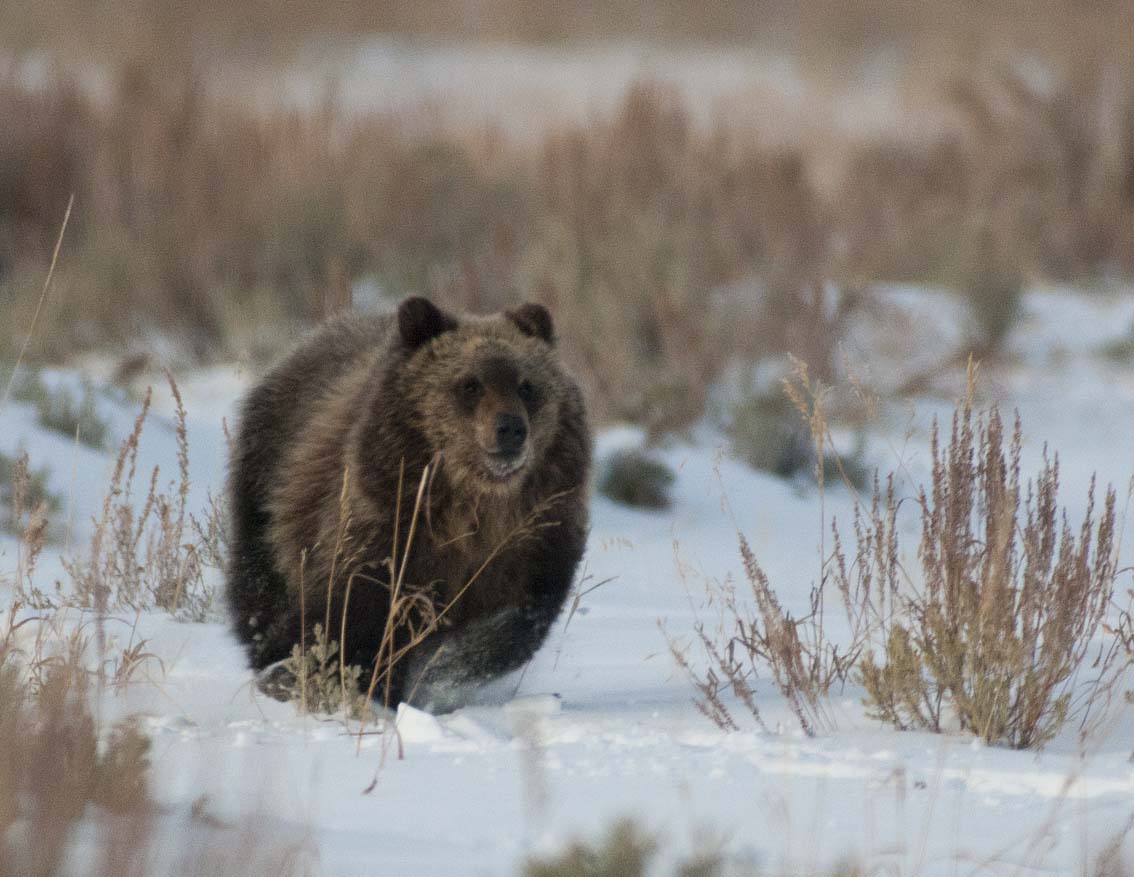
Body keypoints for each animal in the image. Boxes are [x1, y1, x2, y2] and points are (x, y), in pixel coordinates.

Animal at [225, 296, 591, 711]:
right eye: (470, 384)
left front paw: (442, 666)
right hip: (269, 478)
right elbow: (357, 610)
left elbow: (517, 619)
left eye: (527, 385)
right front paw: (322, 675)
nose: (510, 428)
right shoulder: (389, 519)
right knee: (262, 580)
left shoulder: (533, 536)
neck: (473, 502)